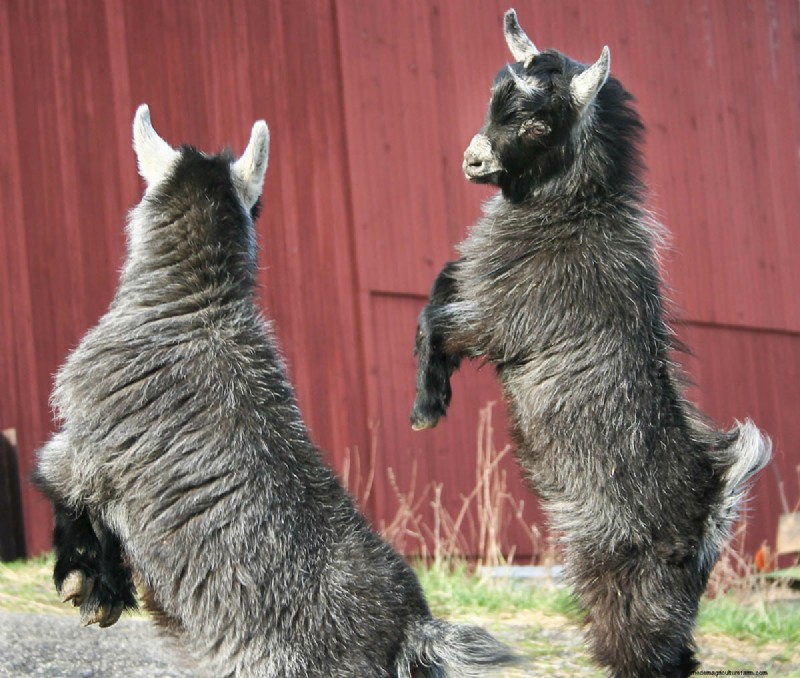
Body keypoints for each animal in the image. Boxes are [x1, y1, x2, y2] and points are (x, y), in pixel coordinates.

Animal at [411, 10, 771, 677]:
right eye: (494, 97)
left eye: (535, 121)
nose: (472, 162)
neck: (575, 213)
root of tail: (707, 512)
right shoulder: (478, 284)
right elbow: (441, 283)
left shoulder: (497, 320)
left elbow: (434, 322)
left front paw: (427, 408)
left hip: (621, 577)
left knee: (648, 653)